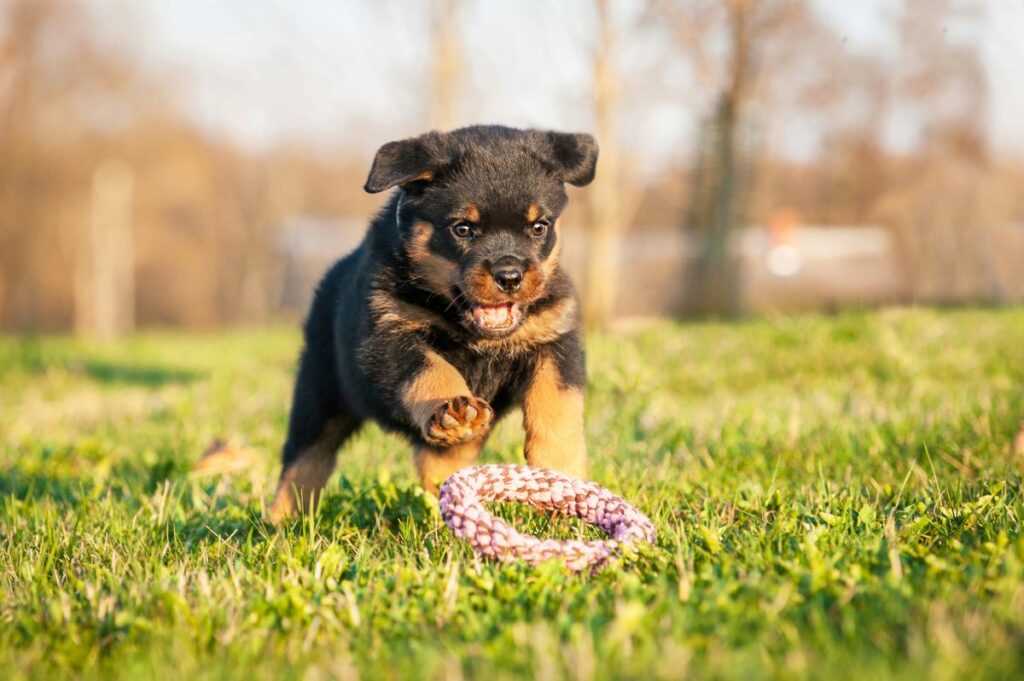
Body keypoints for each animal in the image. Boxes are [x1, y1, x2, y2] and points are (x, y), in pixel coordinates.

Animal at [272, 124, 598, 522]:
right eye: (463, 228)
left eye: (539, 227)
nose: (510, 276)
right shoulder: (388, 335)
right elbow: (429, 369)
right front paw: (452, 407)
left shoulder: (555, 336)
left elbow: (558, 403)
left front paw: (562, 472)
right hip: (319, 391)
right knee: (305, 458)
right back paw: (283, 520)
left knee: (442, 458)